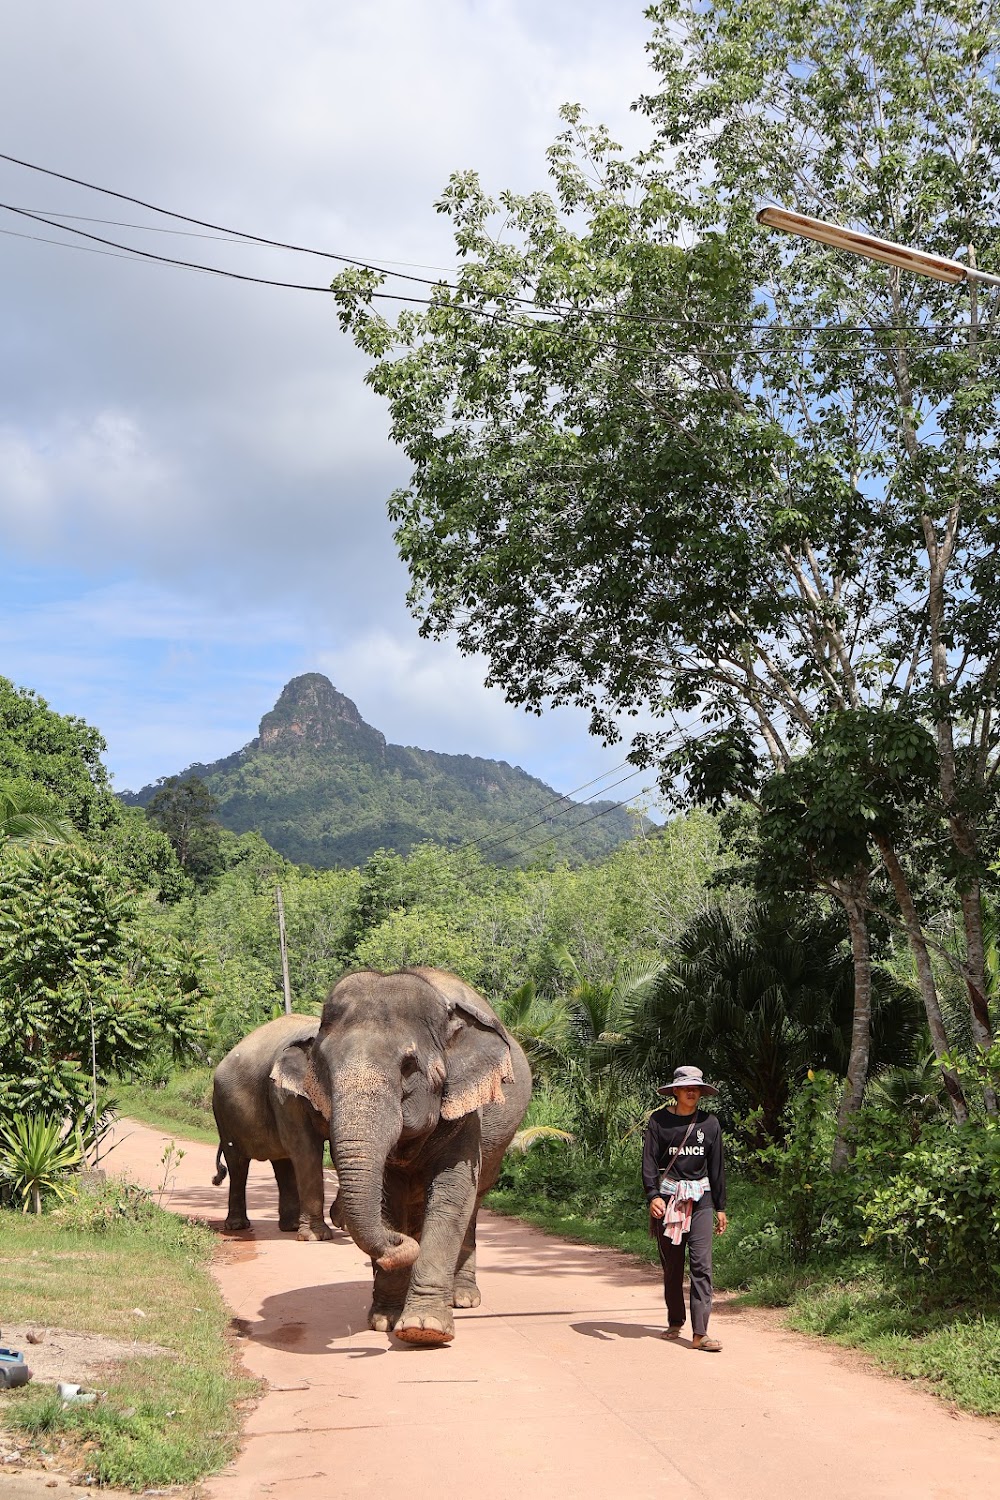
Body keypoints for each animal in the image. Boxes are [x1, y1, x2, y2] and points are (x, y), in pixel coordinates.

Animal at [211, 1008, 335, 1242]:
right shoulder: (284, 1094)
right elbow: (307, 1150)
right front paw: (317, 1237)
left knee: (283, 1162)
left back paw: (291, 1226)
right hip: (224, 1113)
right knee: (238, 1164)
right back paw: (237, 1226)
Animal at [296, 966, 530, 1356]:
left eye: (408, 1067)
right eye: (324, 1067)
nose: (396, 1246)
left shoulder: (465, 1112)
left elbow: (453, 1196)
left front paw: (425, 1329)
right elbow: (389, 1198)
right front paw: (384, 1321)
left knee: (474, 1204)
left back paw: (462, 1298)